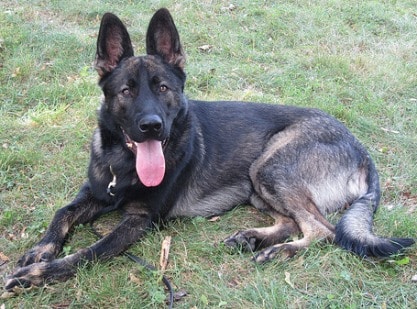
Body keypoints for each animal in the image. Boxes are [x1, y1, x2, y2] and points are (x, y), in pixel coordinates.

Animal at [4, 8, 412, 290]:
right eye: (127, 91)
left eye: (163, 88)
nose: (151, 126)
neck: (124, 165)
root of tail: (360, 148)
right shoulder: (92, 193)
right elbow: (62, 214)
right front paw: (41, 249)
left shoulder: (138, 220)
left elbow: (92, 251)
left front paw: (38, 273)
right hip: (258, 185)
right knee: (291, 221)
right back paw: (254, 237)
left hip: (269, 167)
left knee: (322, 229)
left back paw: (278, 250)